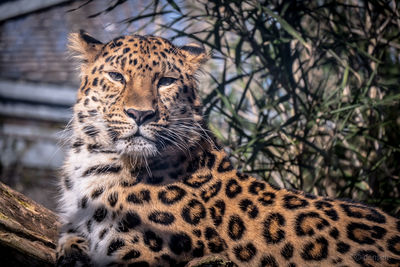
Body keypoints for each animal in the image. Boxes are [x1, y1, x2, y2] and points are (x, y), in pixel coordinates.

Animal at [56, 30, 400, 266]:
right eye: (116, 76)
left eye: (166, 81)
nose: (141, 114)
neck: (92, 163)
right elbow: (70, 236)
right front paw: (71, 248)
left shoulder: (144, 254)